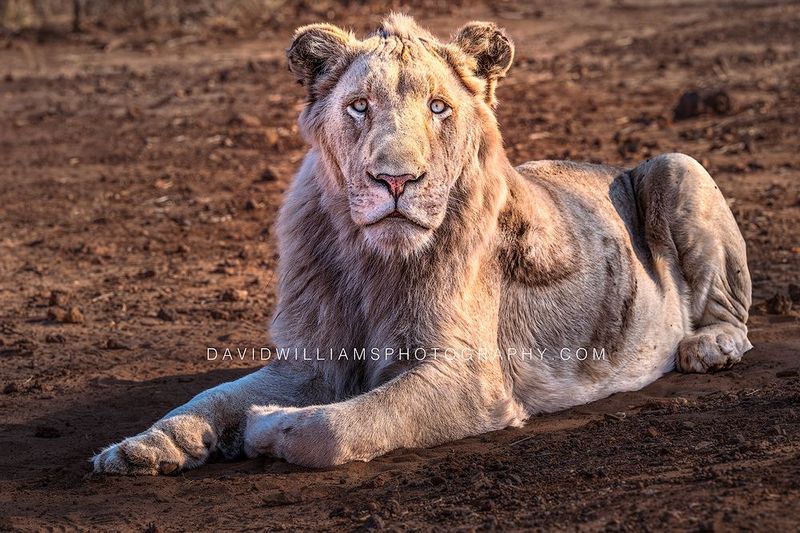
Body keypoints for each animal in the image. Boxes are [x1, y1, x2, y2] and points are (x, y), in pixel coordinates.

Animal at [92, 14, 752, 474]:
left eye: (439, 107)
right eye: (359, 107)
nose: (395, 179)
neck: (371, 261)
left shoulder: (472, 378)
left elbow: (342, 426)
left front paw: (270, 427)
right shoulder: (312, 358)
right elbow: (210, 396)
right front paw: (141, 447)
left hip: (677, 164)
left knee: (732, 311)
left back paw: (708, 347)